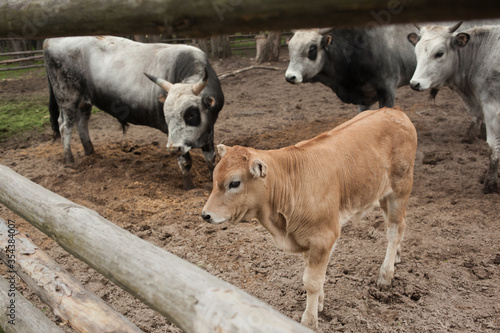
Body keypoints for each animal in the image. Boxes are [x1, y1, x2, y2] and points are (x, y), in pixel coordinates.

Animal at [45, 35, 225, 189]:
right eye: (166, 116)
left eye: (191, 114)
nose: (172, 149)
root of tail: (49, 40)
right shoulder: (176, 140)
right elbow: (185, 162)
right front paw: (189, 187)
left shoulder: (209, 130)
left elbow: (211, 159)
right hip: (67, 98)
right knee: (65, 126)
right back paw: (68, 159)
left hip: (83, 102)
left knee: (82, 121)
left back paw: (90, 151)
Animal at [201, 107, 416, 328]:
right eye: (215, 177)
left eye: (234, 183)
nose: (205, 215)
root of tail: (393, 111)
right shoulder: (305, 239)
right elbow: (313, 275)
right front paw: (319, 303)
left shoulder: (324, 237)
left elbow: (312, 282)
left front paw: (309, 320)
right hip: (383, 194)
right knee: (397, 224)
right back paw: (396, 256)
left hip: (400, 189)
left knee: (395, 229)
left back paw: (386, 274)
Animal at [408, 22, 500, 192]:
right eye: (417, 52)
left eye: (439, 53)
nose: (414, 84)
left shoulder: (491, 106)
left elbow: (493, 146)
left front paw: (490, 183)